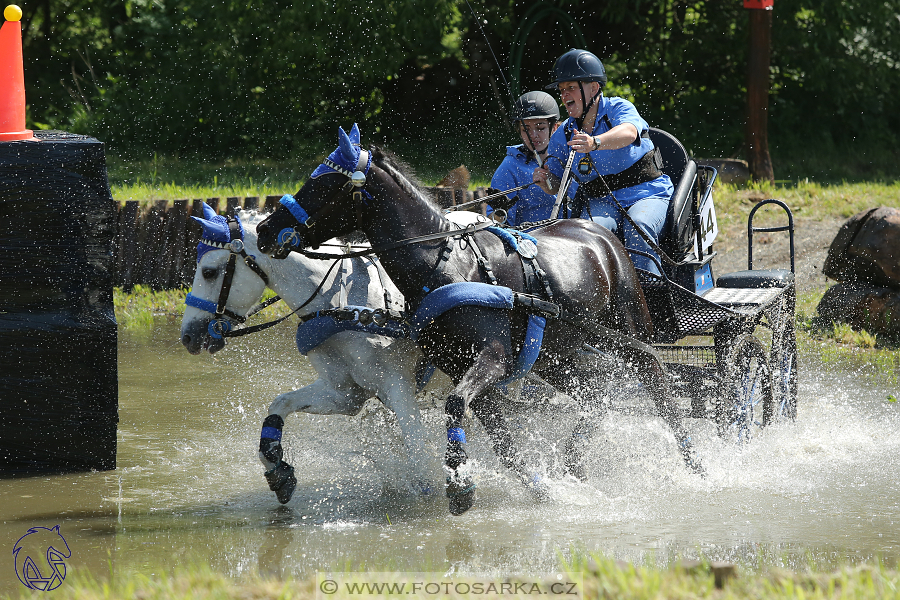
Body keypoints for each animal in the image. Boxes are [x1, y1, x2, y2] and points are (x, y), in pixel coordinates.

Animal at [179, 204, 432, 504]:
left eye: (208, 272)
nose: (187, 336)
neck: (345, 307)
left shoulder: (399, 389)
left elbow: (420, 460)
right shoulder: (345, 395)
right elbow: (280, 404)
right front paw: (278, 470)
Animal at [255, 124, 704, 512]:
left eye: (324, 184)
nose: (265, 229)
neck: (444, 266)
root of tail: (603, 234)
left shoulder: (493, 358)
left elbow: (456, 407)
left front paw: (459, 484)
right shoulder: (463, 369)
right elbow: (501, 441)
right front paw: (540, 486)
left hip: (623, 331)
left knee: (653, 372)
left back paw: (695, 464)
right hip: (559, 354)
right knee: (596, 394)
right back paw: (574, 465)